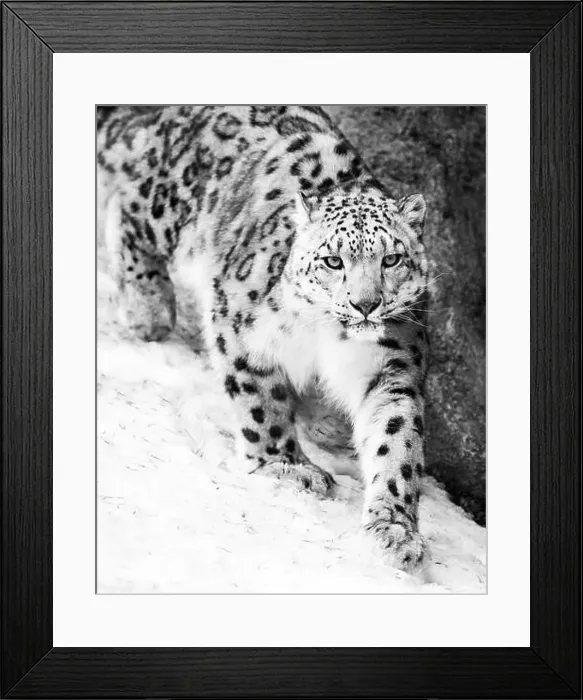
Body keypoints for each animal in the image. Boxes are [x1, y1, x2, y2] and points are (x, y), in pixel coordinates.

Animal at [97, 105, 430, 571]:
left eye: (392, 259)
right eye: (333, 261)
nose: (365, 304)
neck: (330, 337)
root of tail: (174, 114)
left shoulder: (392, 369)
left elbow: (396, 440)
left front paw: (395, 529)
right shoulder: (239, 324)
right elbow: (262, 401)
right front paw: (287, 466)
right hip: (171, 202)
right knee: (128, 205)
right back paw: (149, 309)